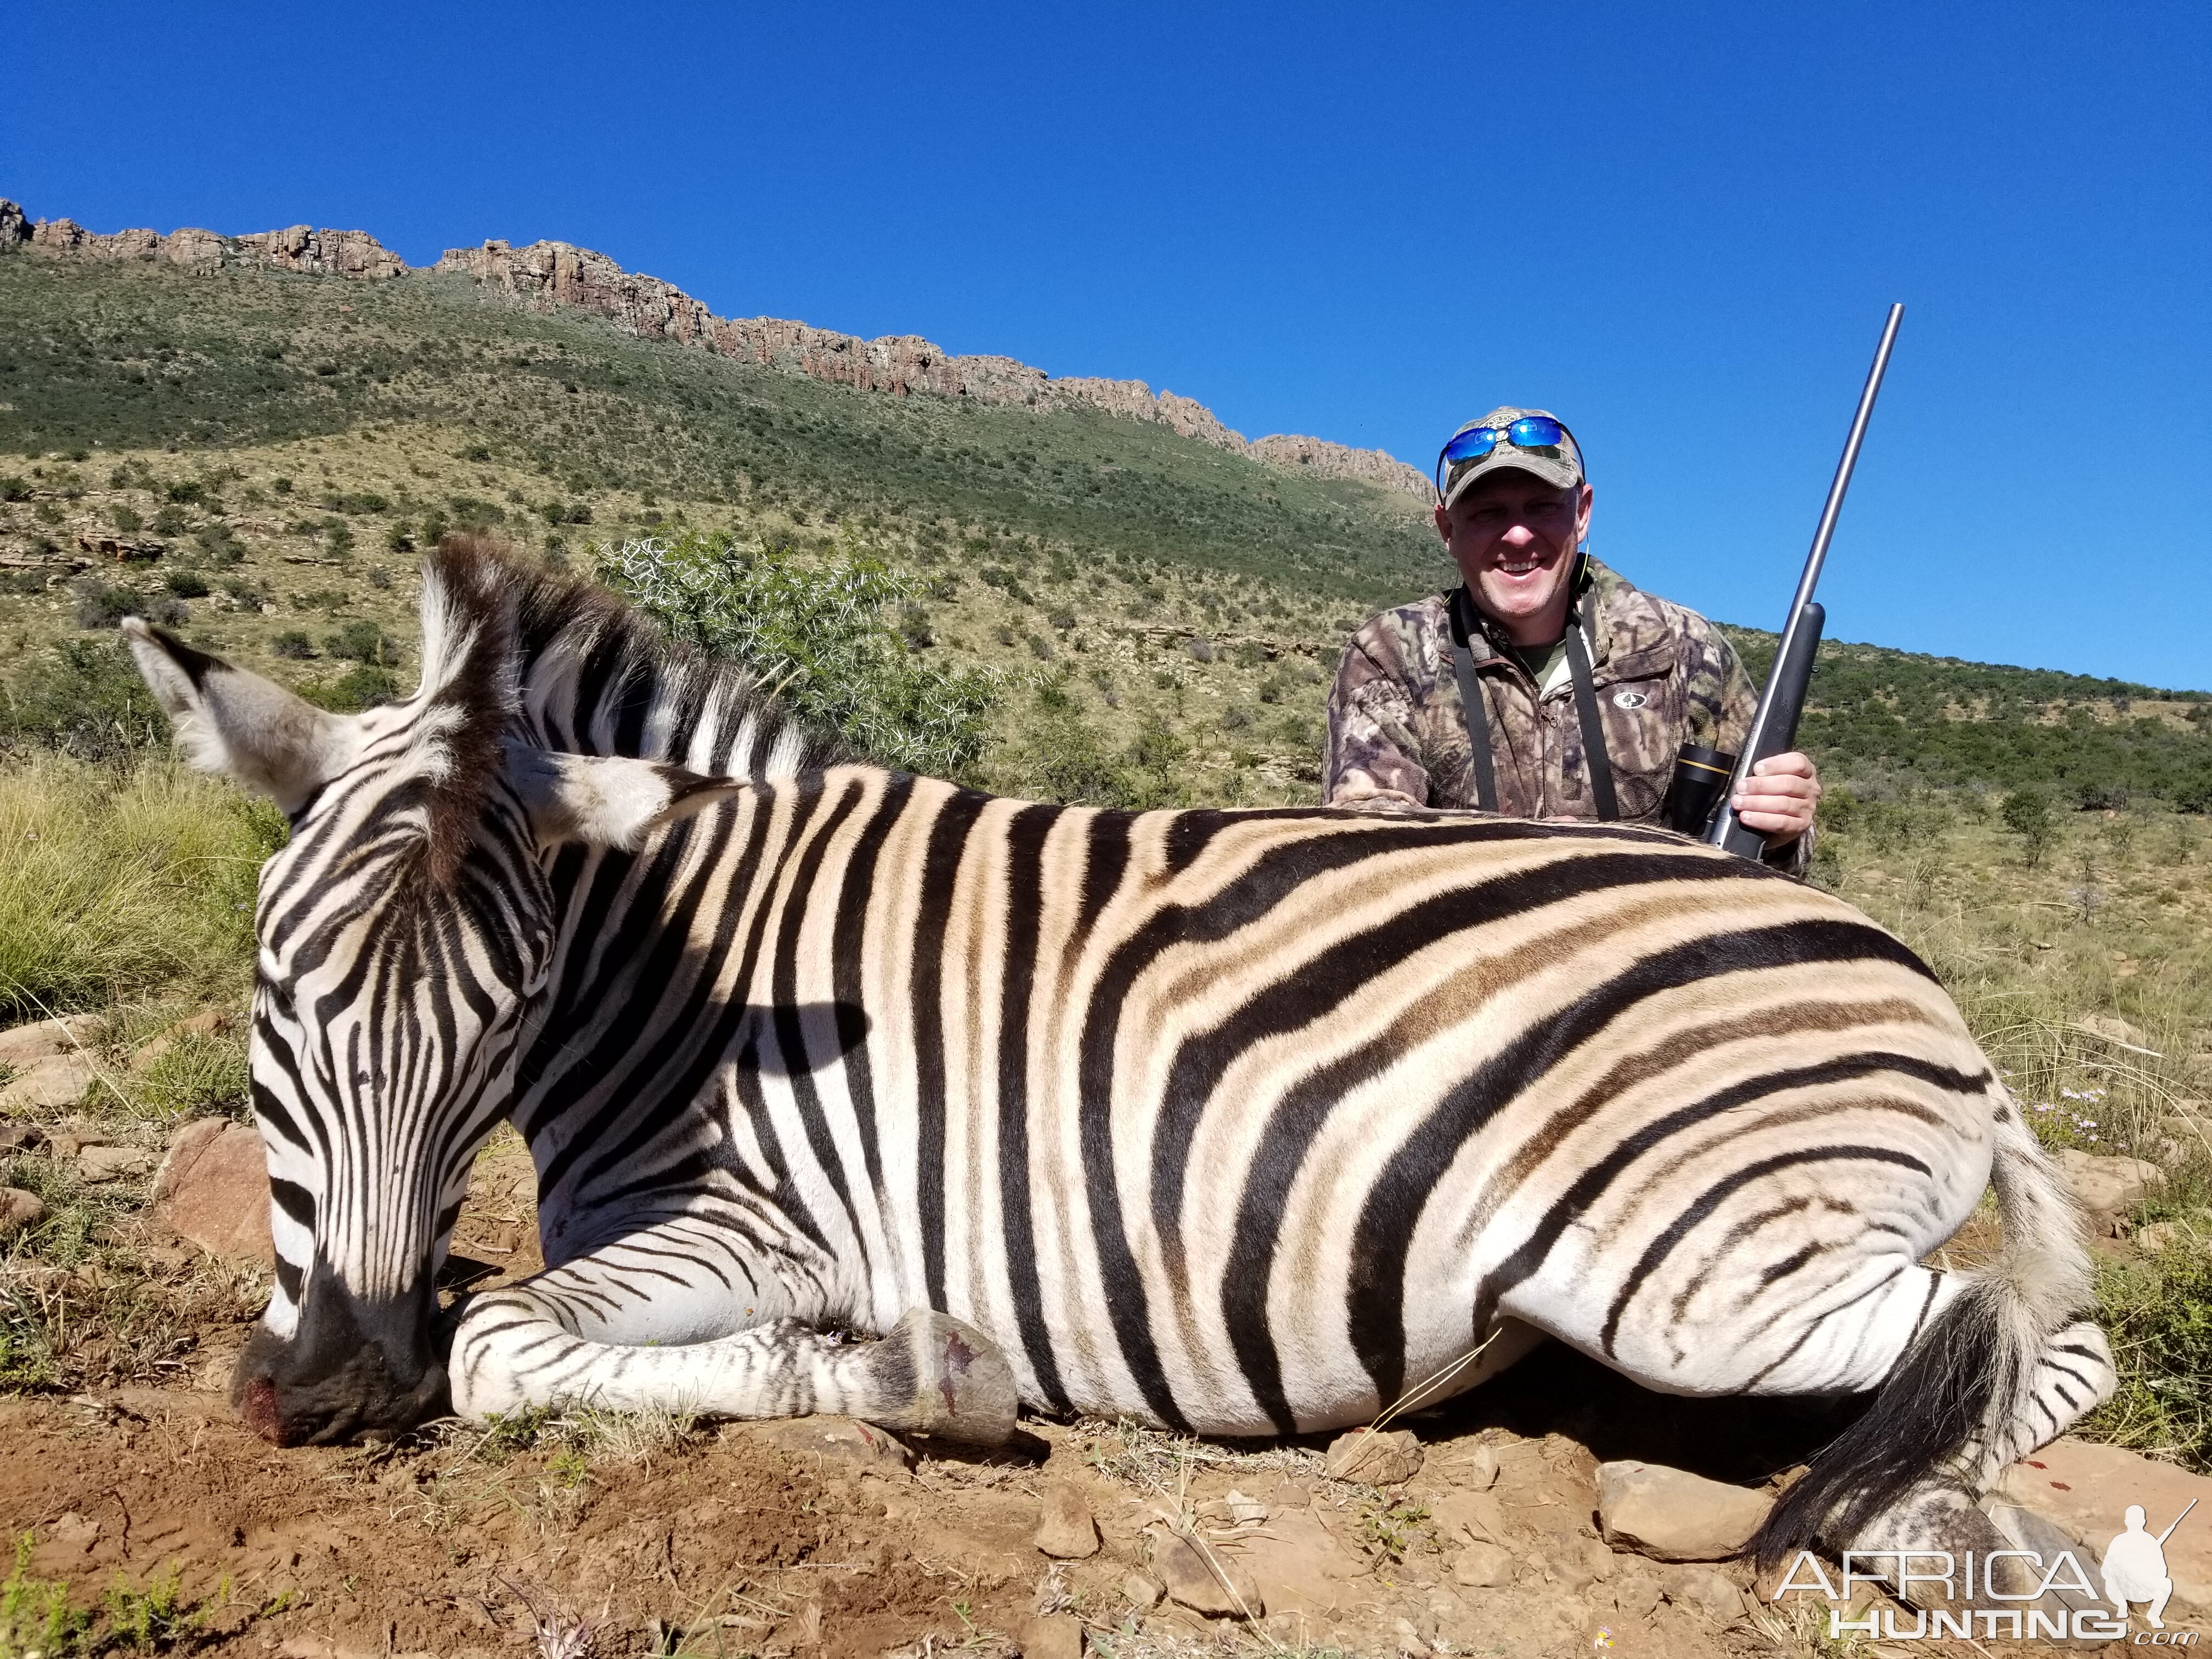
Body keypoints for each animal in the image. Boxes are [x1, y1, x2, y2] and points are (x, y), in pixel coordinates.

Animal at [125, 539, 2123, 1593]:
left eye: (502, 1011)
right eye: (274, 991)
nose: (329, 1393)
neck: (687, 977)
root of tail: (1912, 975)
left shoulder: (772, 1225)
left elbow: (501, 1339)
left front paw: (918, 1374)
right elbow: (489, 1312)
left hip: (1694, 1275)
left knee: (2015, 1342)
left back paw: (1910, 1512)